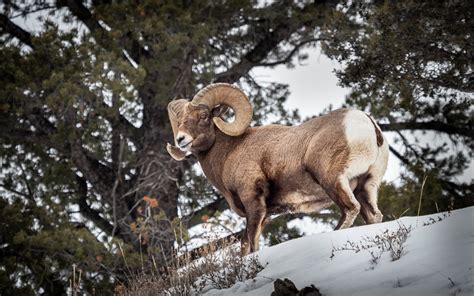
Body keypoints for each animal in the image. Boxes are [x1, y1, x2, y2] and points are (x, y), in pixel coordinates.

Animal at [167, 82, 388, 254]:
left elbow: (253, 242)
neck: (229, 152)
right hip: (366, 186)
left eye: (204, 115)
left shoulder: (253, 203)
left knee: (350, 209)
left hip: (332, 180)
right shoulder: (266, 214)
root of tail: (367, 123)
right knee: (373, 215)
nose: (181, 140)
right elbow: (245, 245)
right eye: (181, 120)